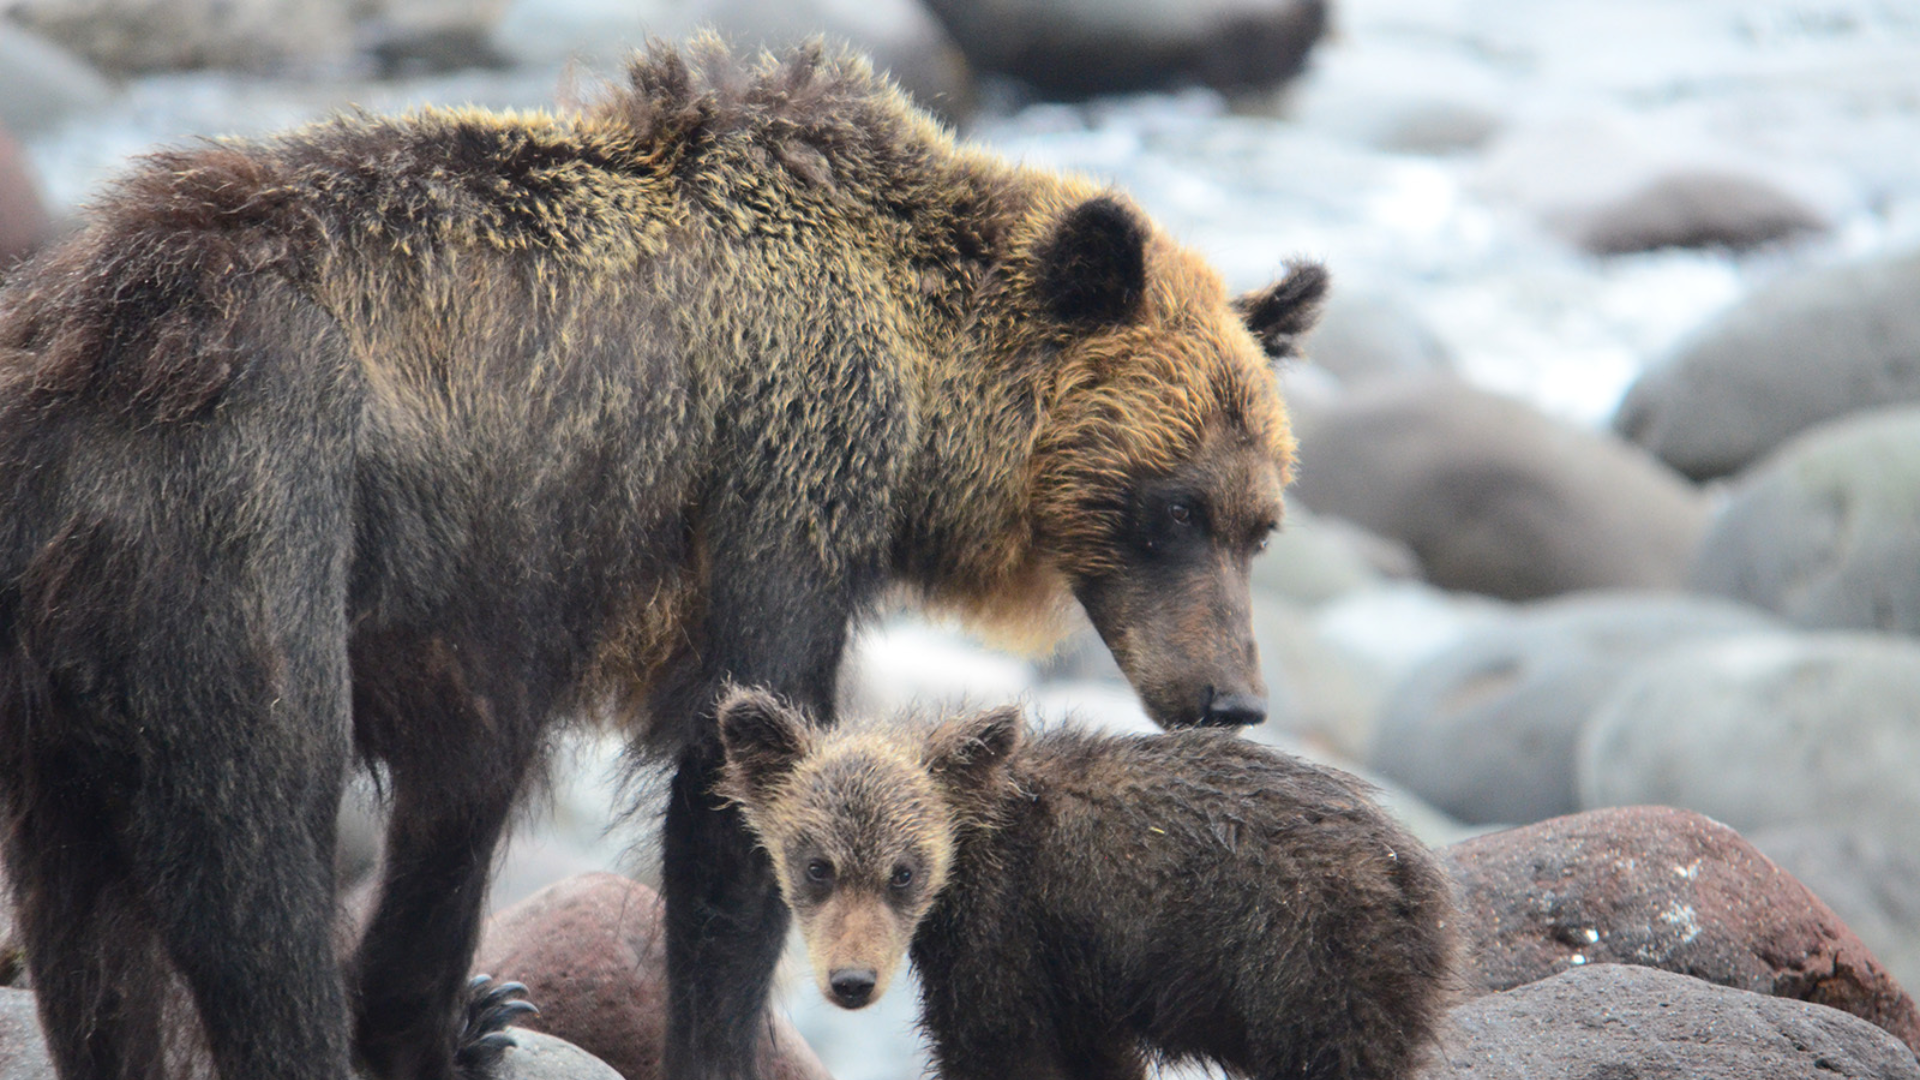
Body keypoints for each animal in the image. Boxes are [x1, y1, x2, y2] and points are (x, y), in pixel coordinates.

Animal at [0, 33, 1328, 1076]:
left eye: (1260, 521)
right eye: (1171, 509)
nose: (1230, 698)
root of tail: (87, 351)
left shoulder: (490, 613)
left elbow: (461, 801)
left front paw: (466, 1015)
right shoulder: (784, 472)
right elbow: (738, 786)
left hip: (66, 668)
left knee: (93, 939)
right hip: (241, 534)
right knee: (254, 845)